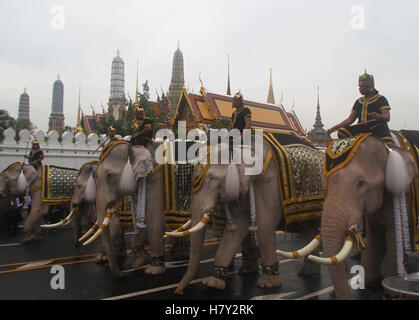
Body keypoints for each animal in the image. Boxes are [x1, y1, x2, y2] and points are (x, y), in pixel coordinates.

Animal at [169, 138, 324, 296]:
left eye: (212, 178)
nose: (179, 292)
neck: (242, 147)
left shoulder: (270, 184)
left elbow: (265, 225)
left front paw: (267, 285)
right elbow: (236, 229)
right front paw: (212, 283)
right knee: (310, 229)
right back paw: (308, 272)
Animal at [306, 132, 418, 300]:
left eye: (361, 183)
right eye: (328, 182)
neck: (387, 147)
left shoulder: (405, 197)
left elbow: (393, 242)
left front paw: (390, 290)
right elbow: (374, 240)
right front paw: (372, 283)